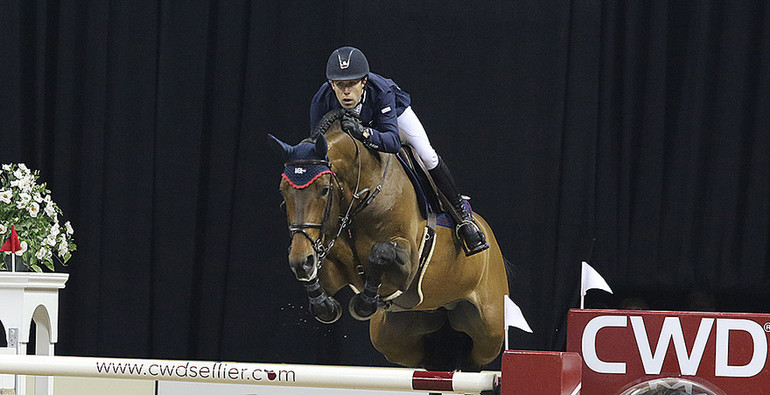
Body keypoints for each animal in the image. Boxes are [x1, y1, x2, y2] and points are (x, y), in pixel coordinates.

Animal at [268, 108, 508, 372]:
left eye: (324, 189)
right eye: (283, 192)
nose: (303, 261)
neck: (361, 197)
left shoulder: (409, 263)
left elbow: (381, 252)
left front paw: (364, 303)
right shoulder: (329, 259)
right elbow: (321, 272)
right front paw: (323, 303)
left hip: (490, 328)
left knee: (475, 358)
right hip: (392, 337)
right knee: (432, 358)